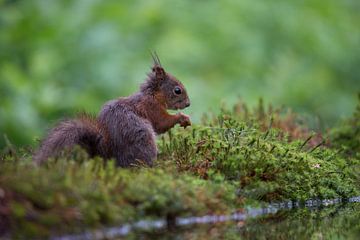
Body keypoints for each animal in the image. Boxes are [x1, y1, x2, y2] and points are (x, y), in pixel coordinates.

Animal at [33, 53, 191, 167]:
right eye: (177, 90)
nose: (188, 104)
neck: (153, 95)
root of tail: (111, 157)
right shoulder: (151, 108)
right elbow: (162, 123)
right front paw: (182, 118)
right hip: (143, 137)